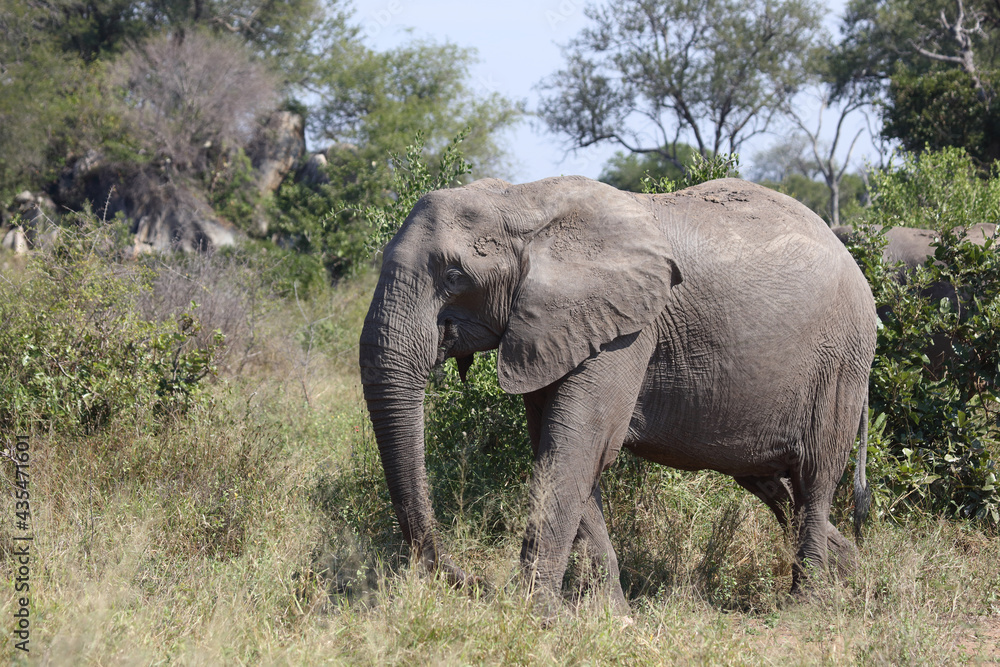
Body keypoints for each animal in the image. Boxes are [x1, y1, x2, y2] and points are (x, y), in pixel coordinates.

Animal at [360, 176, 876, 612]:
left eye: (453, 276)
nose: (465, 578)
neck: (521, 201)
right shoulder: (552, 329)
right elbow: (561, 450)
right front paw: (609, 617)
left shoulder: (627, 329)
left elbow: (578, 447)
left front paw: (534, 616)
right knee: (771, 483)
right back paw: (852, 571)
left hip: (840, 364)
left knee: (814, 478)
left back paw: (806, 605)